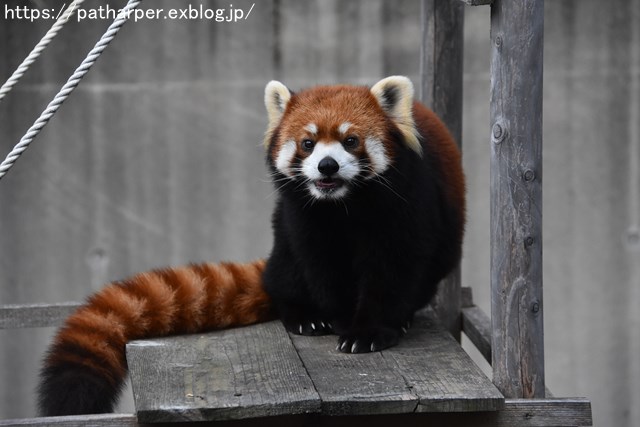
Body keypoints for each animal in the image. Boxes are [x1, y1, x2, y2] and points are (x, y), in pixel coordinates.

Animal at [36, 75, 464, 416]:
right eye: (307, 143)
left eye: (351, 140)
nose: (327, 166)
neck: (343, 206)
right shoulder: (304, 217)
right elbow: (321, 264)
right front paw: (339, 317)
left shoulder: (407, 203)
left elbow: (394, 268)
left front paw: (369, 330)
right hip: (282, 249)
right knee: (285, 274)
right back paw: (303, 314)